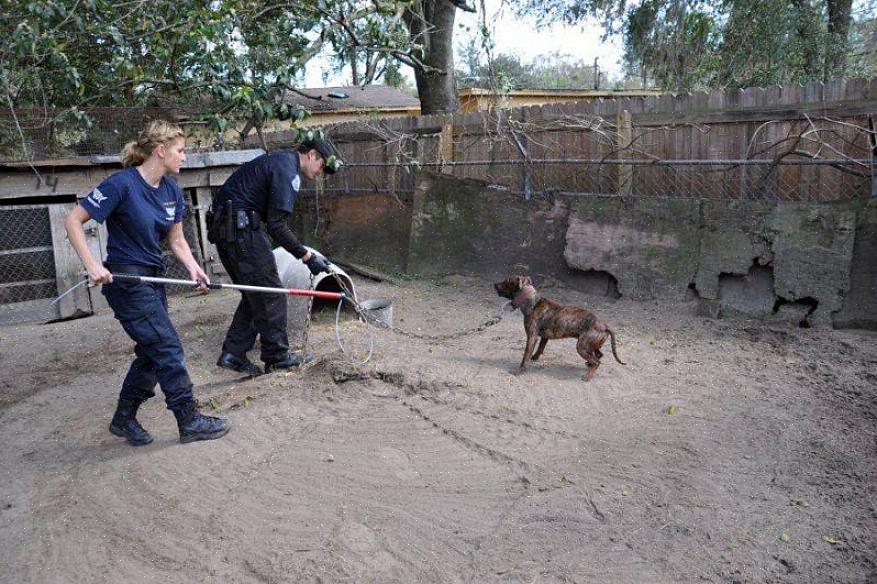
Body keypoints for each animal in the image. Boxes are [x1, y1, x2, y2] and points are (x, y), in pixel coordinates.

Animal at [492, 276, 624, 380]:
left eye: (507, 281)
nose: (494, 284)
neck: (531, 300)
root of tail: (605, 326)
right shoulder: (544, 337)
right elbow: (540, 348)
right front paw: (535, 357)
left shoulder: (532, 337)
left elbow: (525, 356)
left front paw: (520, 370)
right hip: (591, 345)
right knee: (599, 355)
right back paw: (589, 364)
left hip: (582, 346)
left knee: (597, 362)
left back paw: (588, 376)